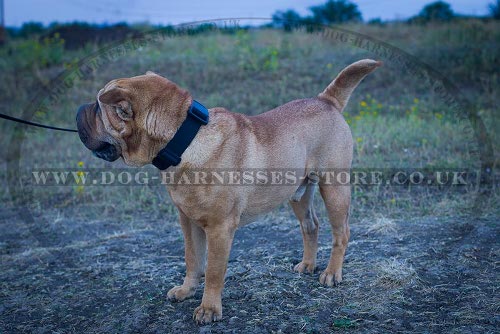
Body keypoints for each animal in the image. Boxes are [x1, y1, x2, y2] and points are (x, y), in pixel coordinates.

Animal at [76, 58, 382, 324]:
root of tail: (326, 100)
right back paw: (308, 265)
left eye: (98, 108)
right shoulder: (188, 221)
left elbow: (213, 270)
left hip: (334, 188)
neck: (185, 140)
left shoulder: (219, 228)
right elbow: (192, 259)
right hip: (298, 193)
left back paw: (331, 273)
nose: (79, 109)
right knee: (311, 225)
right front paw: (186, 291)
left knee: (341, 232)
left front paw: (209, 309)